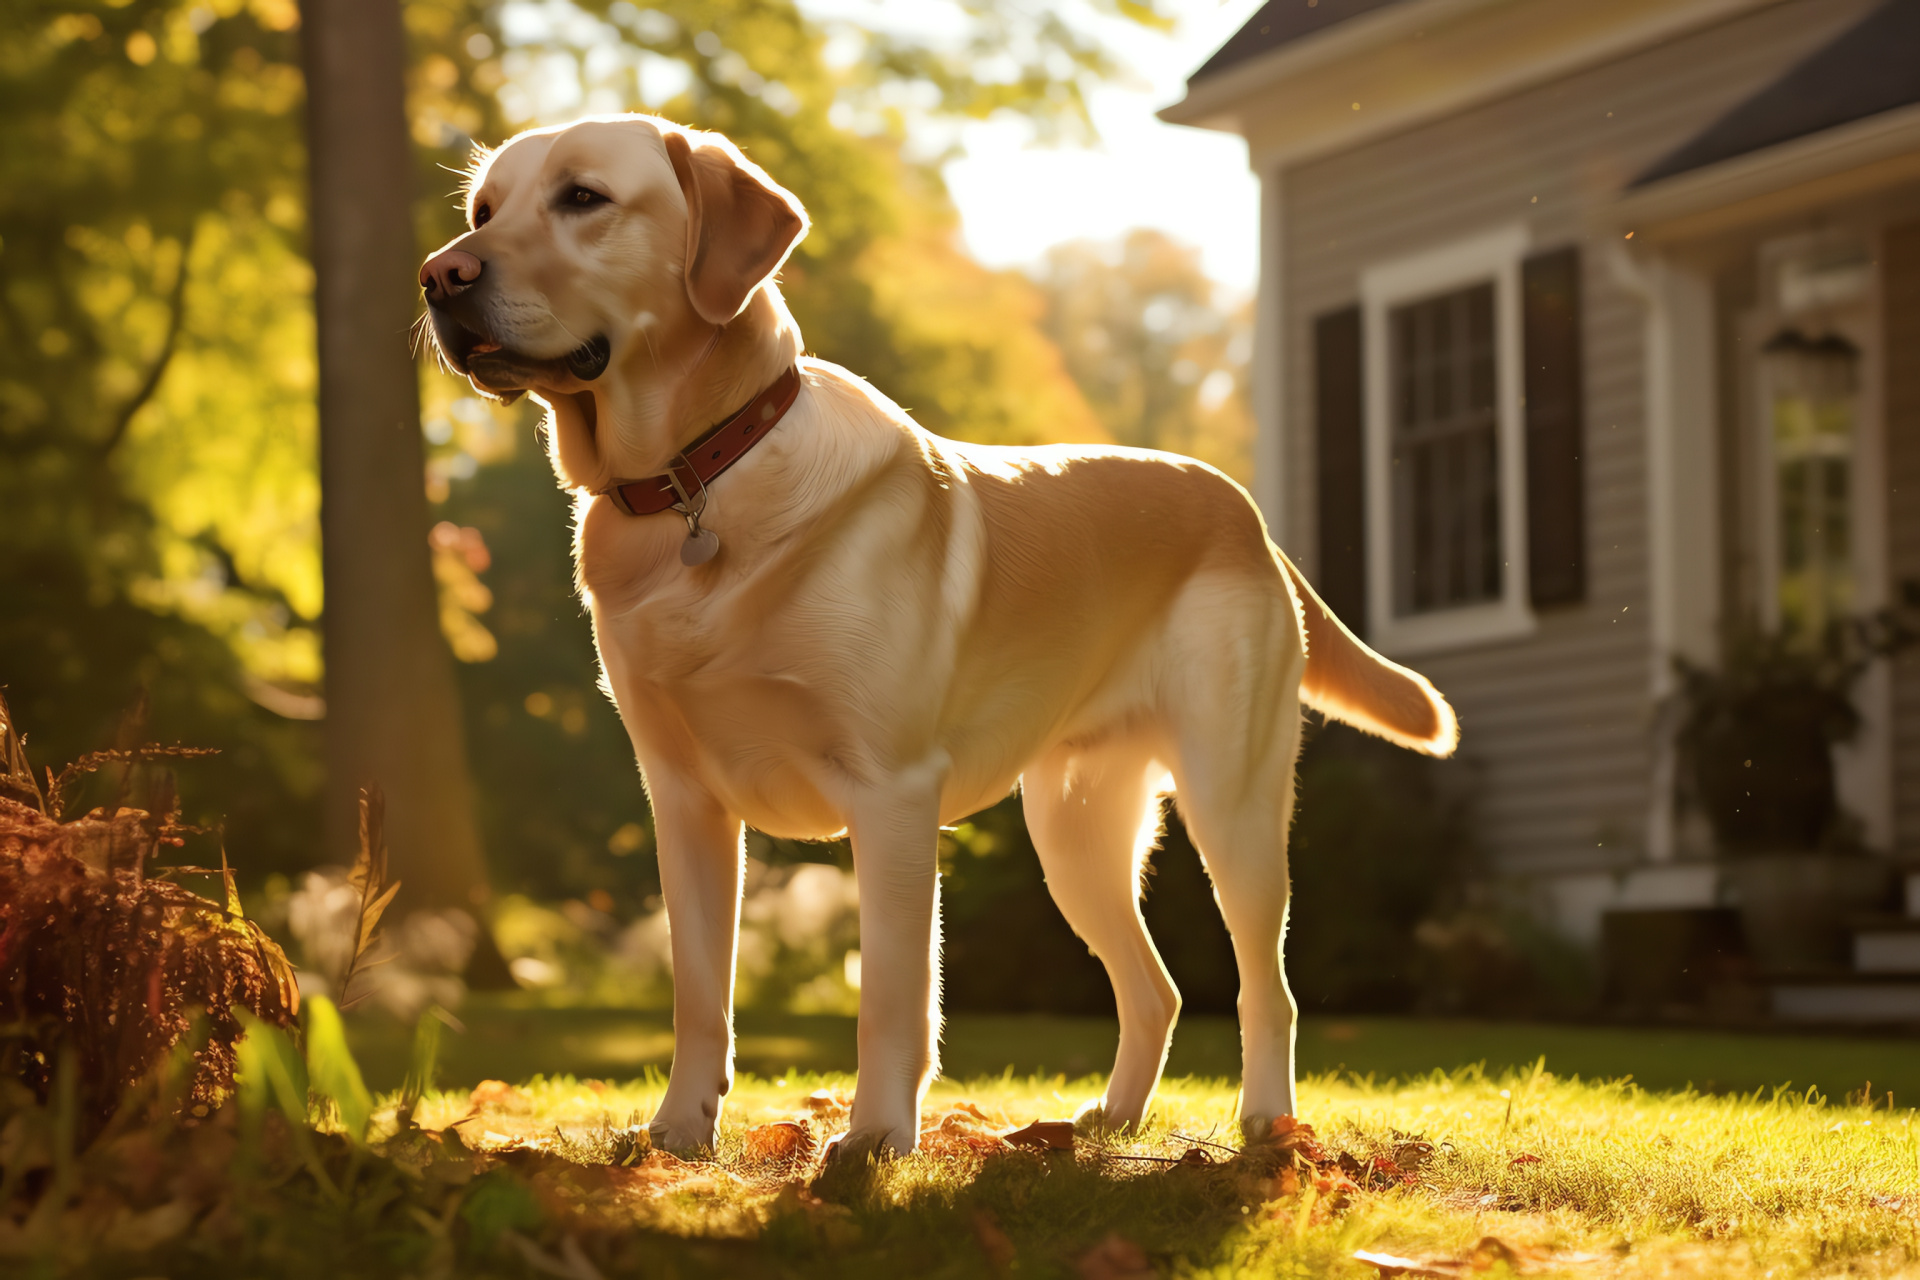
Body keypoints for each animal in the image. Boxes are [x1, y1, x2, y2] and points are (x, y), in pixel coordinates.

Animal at [424, 115, 1451, 1159]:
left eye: (583, 198)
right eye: (485, 209)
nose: (438, 275)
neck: (696, 482)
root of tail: (1244, 513)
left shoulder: (892, 793)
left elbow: (891, 992)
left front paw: (876, 1141)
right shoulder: (685, 803)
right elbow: (700, 993)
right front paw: (679, 1134)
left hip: (1230, 805)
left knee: (1265, 988)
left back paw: (1268, 1127)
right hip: (1074, 829)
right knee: (1154, 988)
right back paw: (1109, 1123)